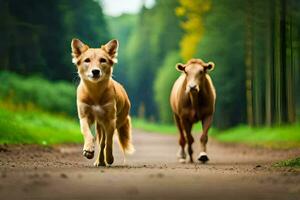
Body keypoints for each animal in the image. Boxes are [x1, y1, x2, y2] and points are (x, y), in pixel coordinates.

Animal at [71, 38, 134, 166]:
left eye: (103, 60)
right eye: (87, 60)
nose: (95, 71)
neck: (95, 92)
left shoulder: (110, 120)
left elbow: (108, 142)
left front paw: (109, 158)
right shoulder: (84, 116)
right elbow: (87, 132)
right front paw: (88, 149)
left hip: (116, 120)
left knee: (104, 141)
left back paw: (103, 160)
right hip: (99, 125)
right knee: (100, 140)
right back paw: (99, 161)